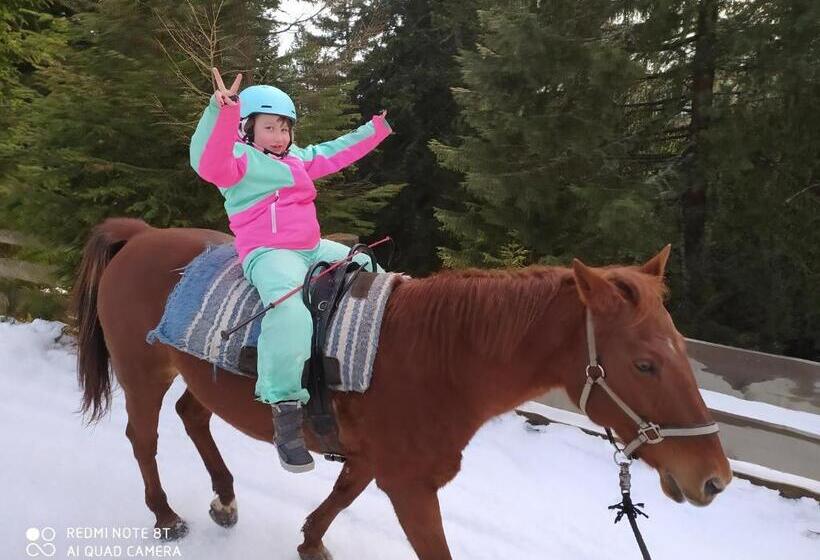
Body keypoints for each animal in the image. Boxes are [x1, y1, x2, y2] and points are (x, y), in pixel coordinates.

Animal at [73, 218, 731, 560]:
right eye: (645, 365)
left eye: (684, 352)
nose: (715, 479)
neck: (440, 357)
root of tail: (140, 234)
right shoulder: (410, 487)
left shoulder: (374, 462)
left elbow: (339, 498)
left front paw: (310, 543)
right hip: (142, 371)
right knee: (144, 437)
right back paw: (165, 515)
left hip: (196, 377)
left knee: (194, 416)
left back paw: (225, 497)